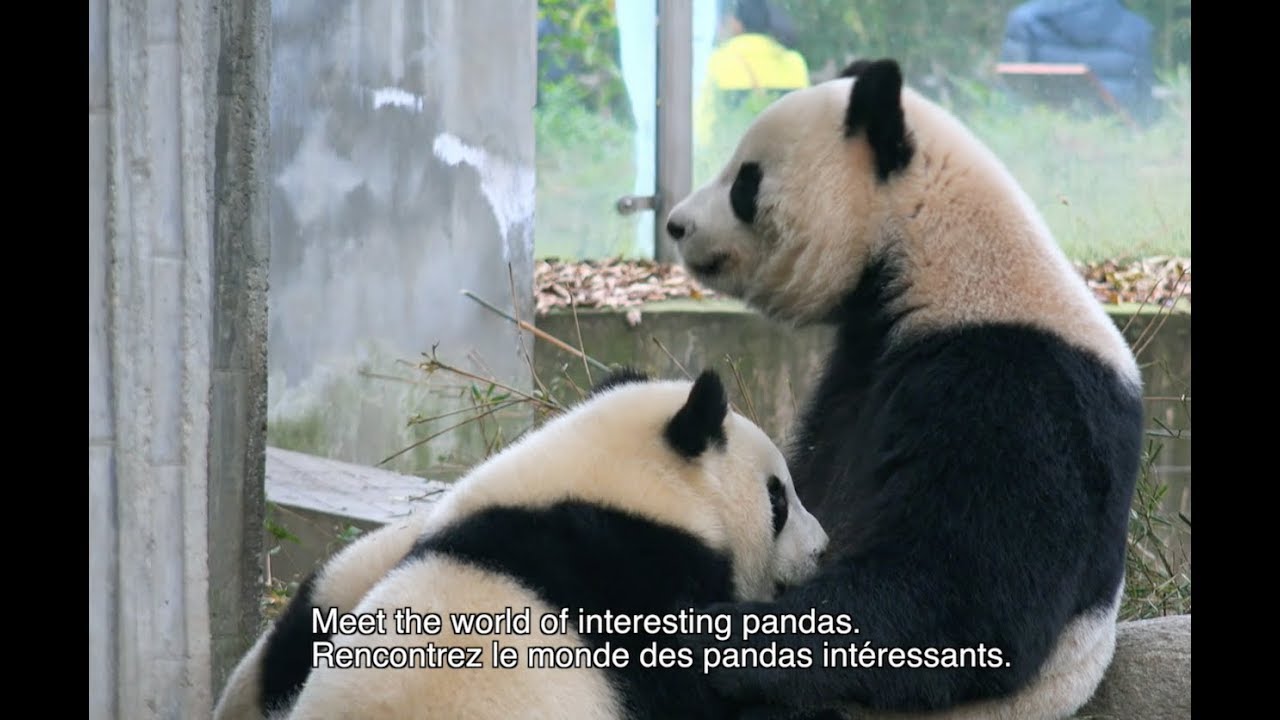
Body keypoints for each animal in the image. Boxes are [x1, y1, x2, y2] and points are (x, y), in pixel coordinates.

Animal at [662, 58, 1146, 720]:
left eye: (745, 181)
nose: (676, 224)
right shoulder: (860, 362)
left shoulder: (1016, 386)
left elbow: (959, 597)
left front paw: (698, 636)